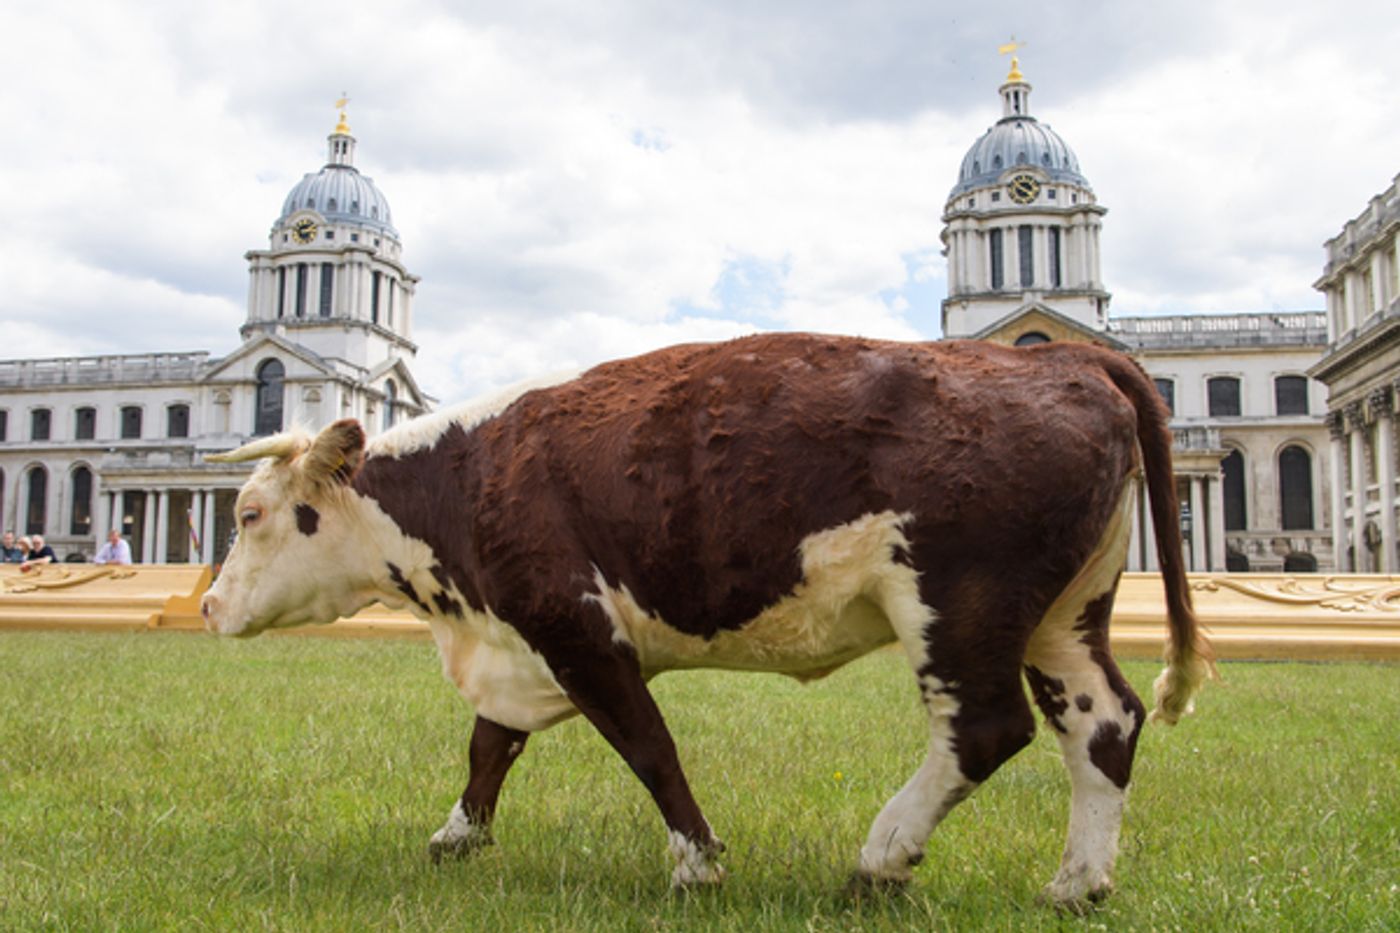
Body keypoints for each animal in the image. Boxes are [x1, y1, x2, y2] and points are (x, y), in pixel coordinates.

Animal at [201, 332, 1212, 907]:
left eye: (248, 513)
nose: (208, 604)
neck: (467, 477)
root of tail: (1055, 353)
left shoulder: (575, 628)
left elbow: (648, 747)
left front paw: (698, 863)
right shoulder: (524, 640)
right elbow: (490, 746)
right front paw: (457, 836)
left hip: (959, 605)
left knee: (985, 728)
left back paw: (881, 856)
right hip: (1062, 615)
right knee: (1103, 721)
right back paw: (1076, 882)